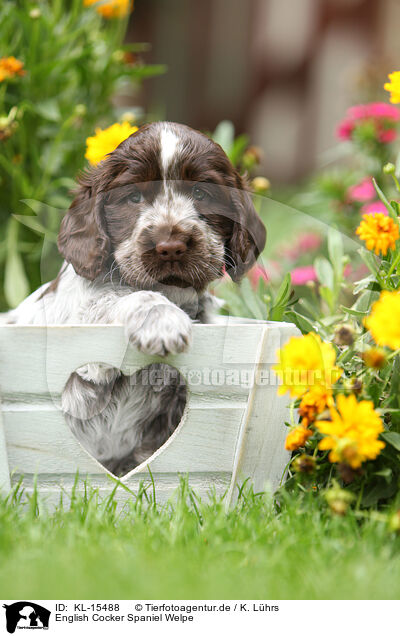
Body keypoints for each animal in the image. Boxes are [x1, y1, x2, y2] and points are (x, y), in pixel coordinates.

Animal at [7, 121, 266, 474]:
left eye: (201, 193)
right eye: (133, 197)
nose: (170, 247)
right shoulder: (79, 329)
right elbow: (123, 299)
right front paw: (163, 323)